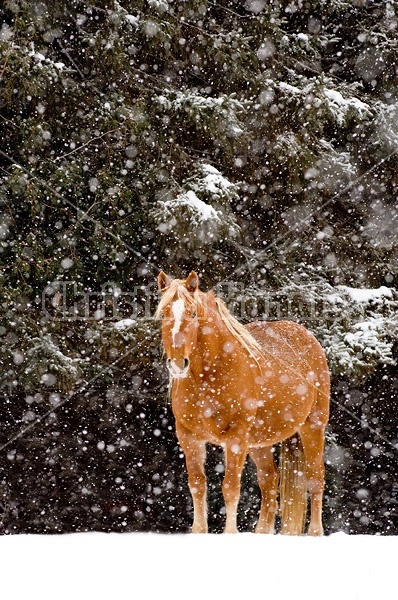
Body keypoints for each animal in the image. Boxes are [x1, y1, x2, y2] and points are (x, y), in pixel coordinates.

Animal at [155, 272, 330, 536]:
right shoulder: (188, 436)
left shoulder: (236, 437)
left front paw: (230, 533)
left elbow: (230, 487)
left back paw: (315, 532)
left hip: (313, 427)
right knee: (269, 481)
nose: (178, 364)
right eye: (165, 312)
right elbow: (197, 484)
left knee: (315, 478)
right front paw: (199, 530)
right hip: (259, 442)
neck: (210, 375)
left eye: (193, 313)